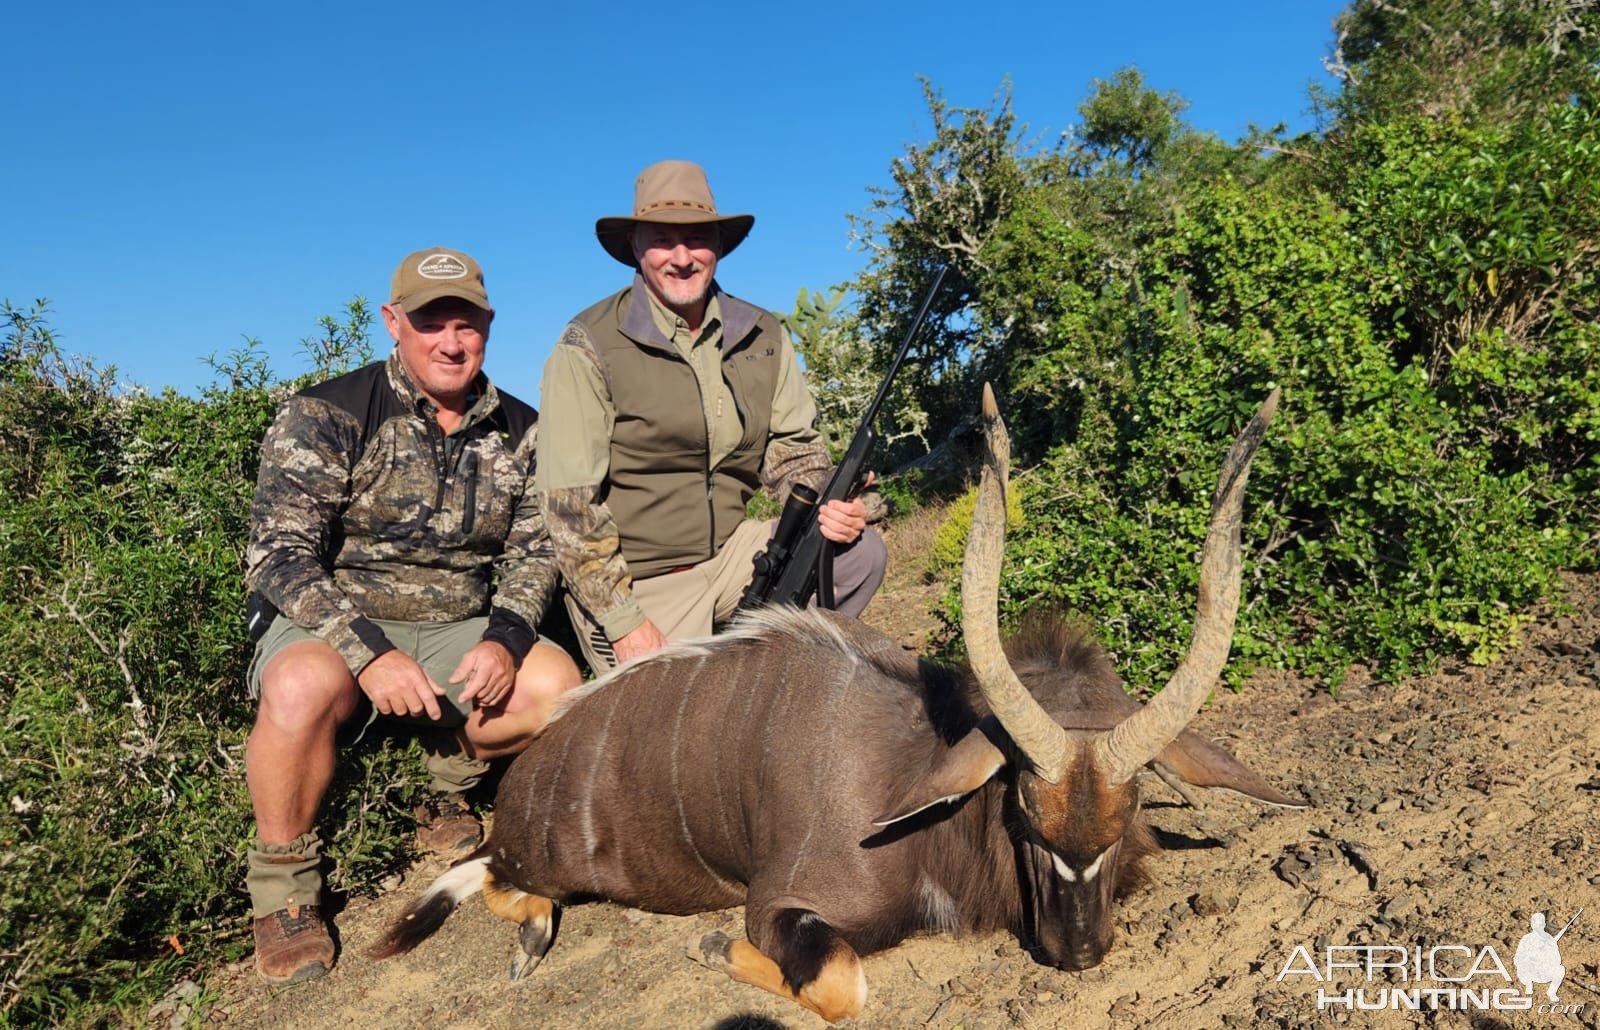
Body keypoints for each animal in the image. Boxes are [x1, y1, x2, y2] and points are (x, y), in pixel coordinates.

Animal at [371, 383, 1299, 1023]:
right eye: (1022, 811)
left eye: (1128, 810)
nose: (1078, 951)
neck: (914, 776)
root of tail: (523, 785)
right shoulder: (785, 903)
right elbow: (844, 983)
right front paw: (712, 943)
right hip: (536, 861)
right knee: (501, 882)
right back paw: (530, 937)